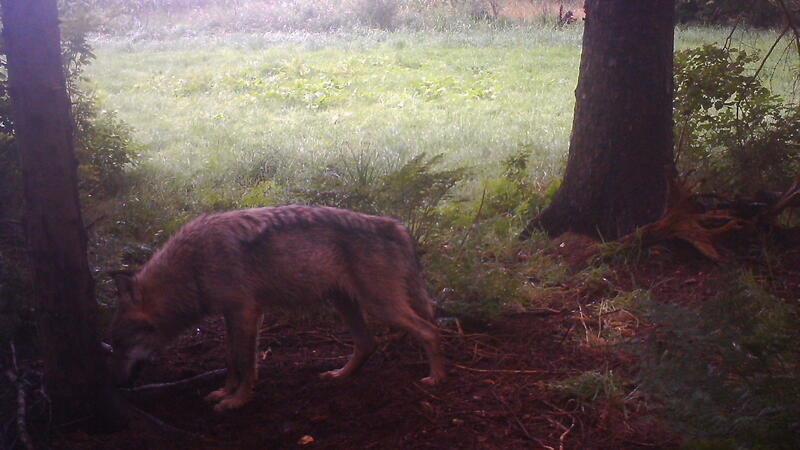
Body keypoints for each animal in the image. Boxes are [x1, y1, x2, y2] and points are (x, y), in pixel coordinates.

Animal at [108, 207, 444, 412]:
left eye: (121, 343)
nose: (118, 384)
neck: (193, 267)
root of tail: (396, 226)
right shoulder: (232, 315)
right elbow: (230, 359)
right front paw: (225, 392)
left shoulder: (247, 313)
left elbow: (246, 363)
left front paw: (238, 401)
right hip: (345, 304)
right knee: (367, 343)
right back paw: (339, 376)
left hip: (381, 307)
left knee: (431, 331)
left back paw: (435, 379)